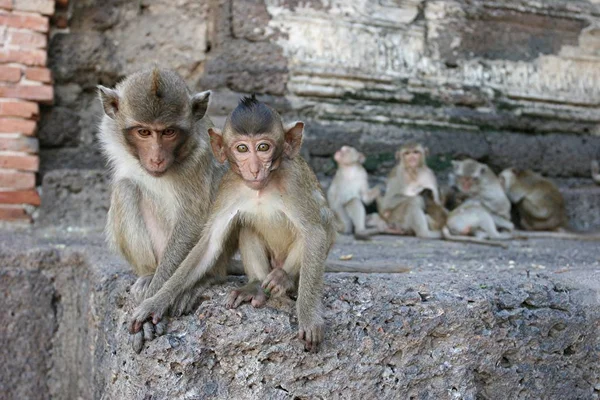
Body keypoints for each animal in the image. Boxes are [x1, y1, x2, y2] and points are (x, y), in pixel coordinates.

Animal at [97, 69, 229, 354]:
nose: (156, 158)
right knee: (126, 188)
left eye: (168, 132)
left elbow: (193, 221)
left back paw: (203, 280)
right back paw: (148, 274)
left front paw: (154, 303)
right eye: (144, 132)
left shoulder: (198, 157)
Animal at [128, 95, 336, 352]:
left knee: (320, 224)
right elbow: (209, 244)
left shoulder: (294, 180)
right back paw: (255, 286)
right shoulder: (228, 186)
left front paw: (308, 317)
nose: (254, 169)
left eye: (263, 147)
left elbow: (315, 234)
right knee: (247, 227)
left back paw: (284, 279)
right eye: (242, 148)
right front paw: (155, 302)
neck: (261, 189)